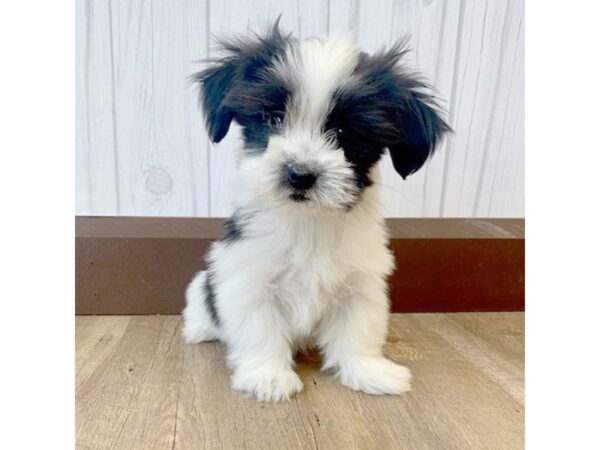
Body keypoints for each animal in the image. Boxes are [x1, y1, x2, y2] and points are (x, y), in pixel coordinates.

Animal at [183, 22, 450, 400]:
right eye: (273, 118)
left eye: (343, 132)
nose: (300, 173)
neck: (308, 222)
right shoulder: (249, 275)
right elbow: (260, 329)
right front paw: (268, 377)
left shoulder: (361, 282)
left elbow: (359, 330)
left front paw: (369, 371)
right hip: (202, 282)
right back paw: (199, 330)